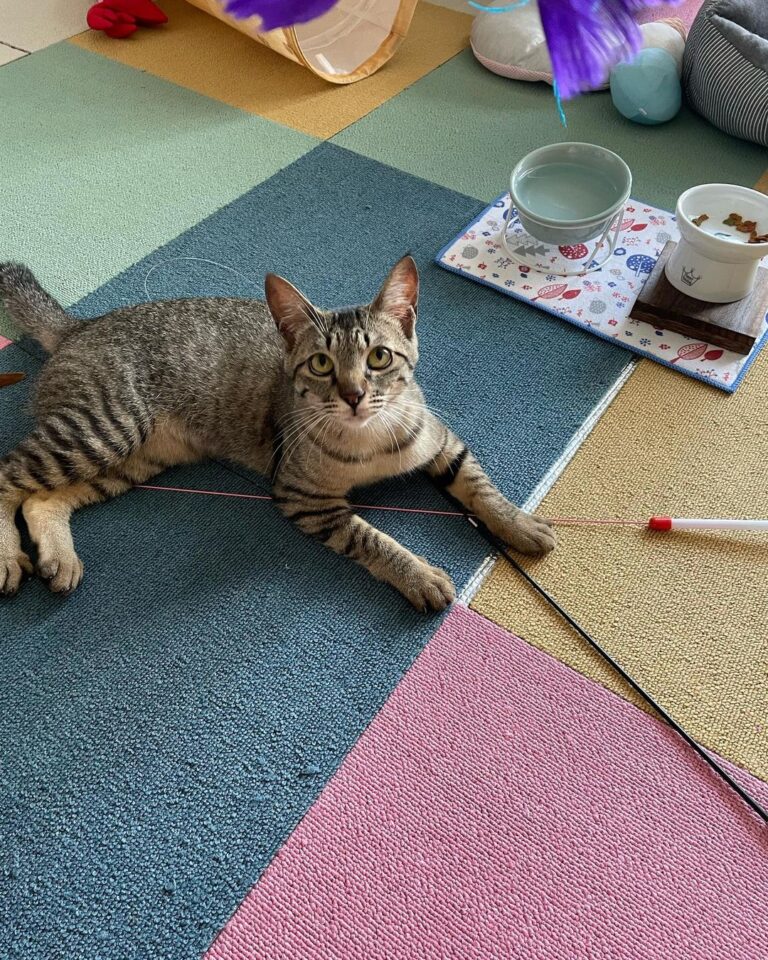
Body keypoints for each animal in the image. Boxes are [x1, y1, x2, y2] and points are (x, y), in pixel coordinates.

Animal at [0, 256, 555, 610]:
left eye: (379, 357)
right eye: (321, 364)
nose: (355, 395)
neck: (370, 439)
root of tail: (79, 325)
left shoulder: (440, 438)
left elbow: (479, 486)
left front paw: (520, 524)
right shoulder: (304, 497)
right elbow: (373, 538)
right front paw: (417, 573)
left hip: (129, 458)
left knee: (42, 499)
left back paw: (58, 559)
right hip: (104, 429)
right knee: (8, 478)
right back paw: (8, 558)